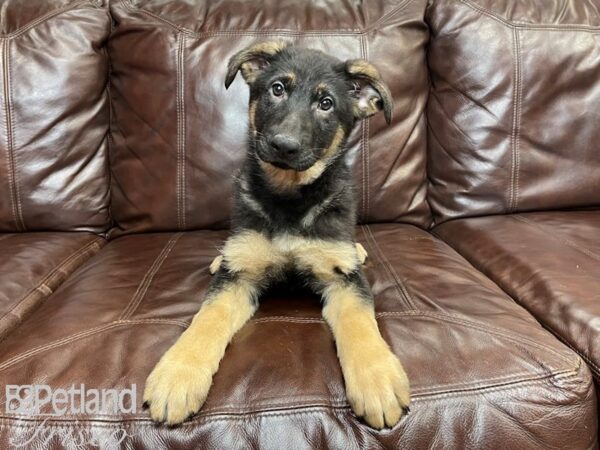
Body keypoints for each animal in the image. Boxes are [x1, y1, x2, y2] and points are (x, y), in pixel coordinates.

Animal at [143, 41, 410, 428]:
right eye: (277, 89)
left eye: (326, 103)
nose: (284, 145)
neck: (289, 196)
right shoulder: (238, 275)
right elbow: (206, 318)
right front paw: (177, 373)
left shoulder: (342, 276)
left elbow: (360, 322)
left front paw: (378, 379)